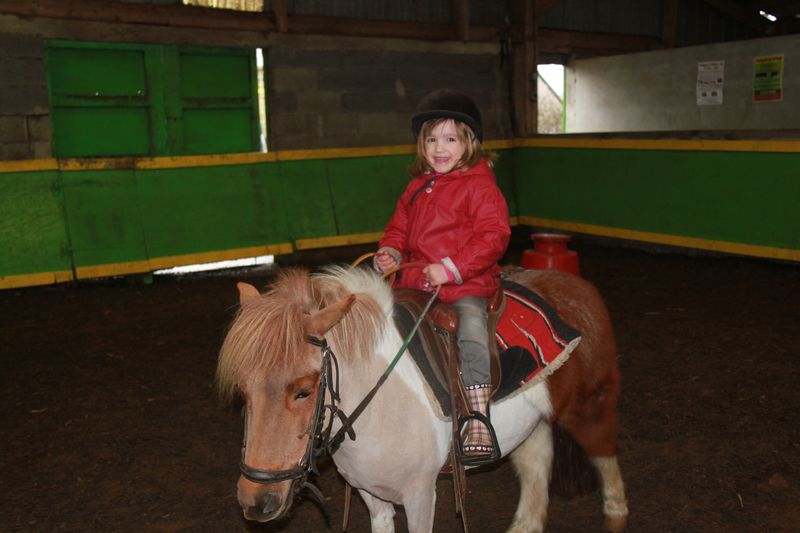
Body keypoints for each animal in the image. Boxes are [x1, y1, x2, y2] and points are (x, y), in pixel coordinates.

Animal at [216, 265, 628, 533]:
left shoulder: (419, 494)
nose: (256, 501)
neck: (382, 405)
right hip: (534, 420)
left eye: (303, 390)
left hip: (592, 405)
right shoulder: (371, 495)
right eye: (244, 391)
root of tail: (574, 285)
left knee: (605, 457)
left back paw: (615, 512)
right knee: (536, 465)